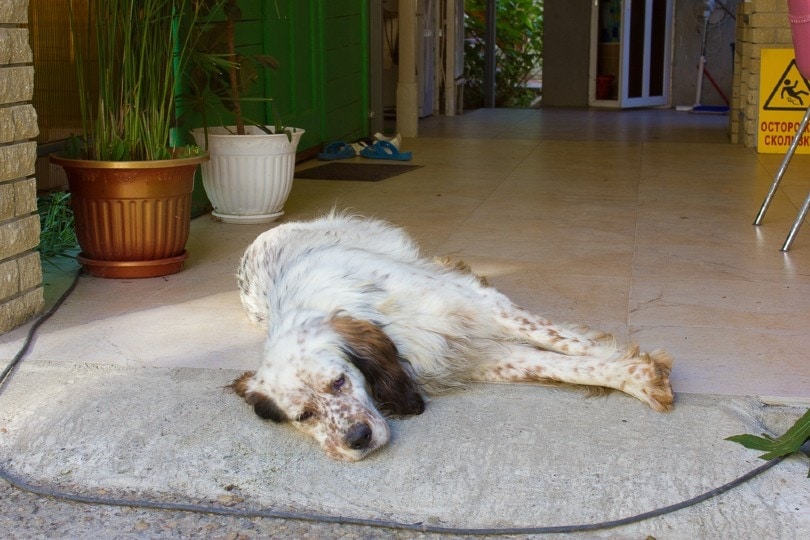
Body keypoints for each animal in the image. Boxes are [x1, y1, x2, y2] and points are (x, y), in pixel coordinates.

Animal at [227, 211, 668, 460]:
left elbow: (566, 342)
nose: (357, 438)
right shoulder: (480, 357)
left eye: (339, 381)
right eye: (303, 416)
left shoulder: (482, 307)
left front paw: (629, 365)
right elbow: (560, 365)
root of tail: (262, 236)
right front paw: (633, 376)